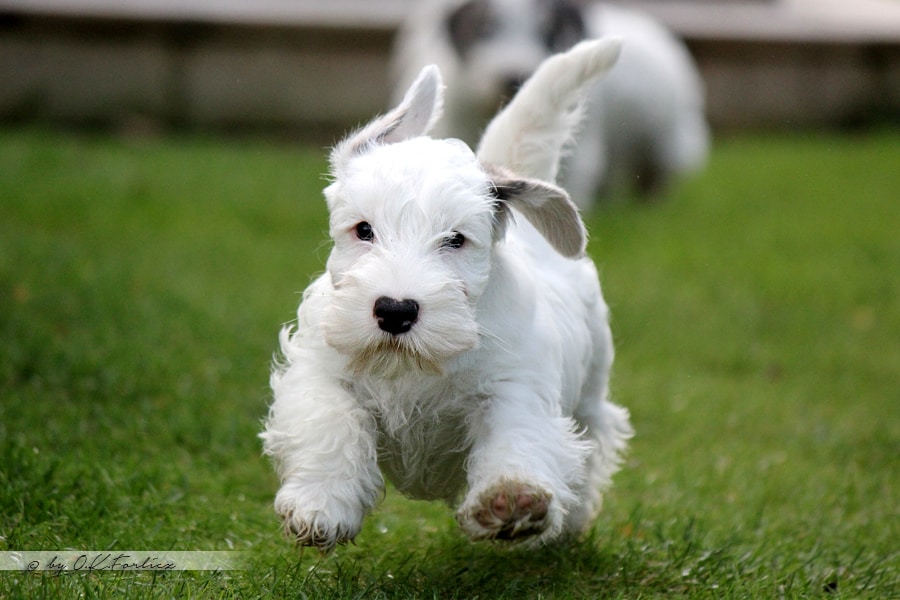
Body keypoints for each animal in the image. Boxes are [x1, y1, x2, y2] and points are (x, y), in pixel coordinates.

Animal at [260, 38, 632, 552]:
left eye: (455, 240)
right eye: (364, 230)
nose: (395, 310)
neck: (414, 365)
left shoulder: (513, 387)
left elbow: (517, 436)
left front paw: (512, 500)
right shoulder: (321, 371)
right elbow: (330, 425)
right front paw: (322, 504)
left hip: (592, 394)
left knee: (592, 444)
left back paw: (566, 523)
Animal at [392, 0, 712, 205]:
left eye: (547, 32)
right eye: (485, 30)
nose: (512, 76)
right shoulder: (458, 116)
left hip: (665, 132)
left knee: (657, 169)